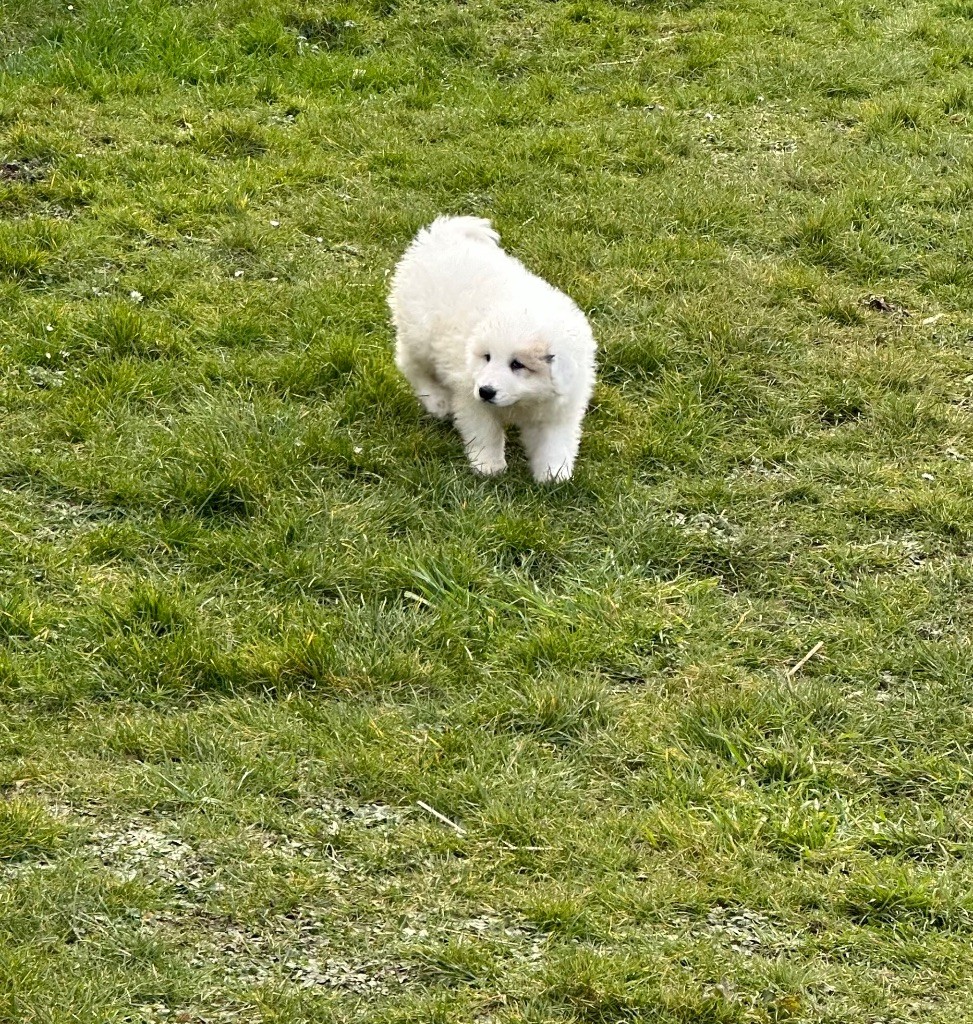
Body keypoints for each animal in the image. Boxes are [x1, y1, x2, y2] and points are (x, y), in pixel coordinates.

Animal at [387, 212, 594, 483]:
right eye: (487, 357)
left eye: (518, 364)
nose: (486, 391)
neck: (523, 402)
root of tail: (441, 234)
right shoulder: (471, 396)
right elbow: (485, 432)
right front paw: (488, 466)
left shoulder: (560, 408)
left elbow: (554, 442)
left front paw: (553, 474)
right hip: (419, 332)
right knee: (410, 364)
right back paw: (437, 401)